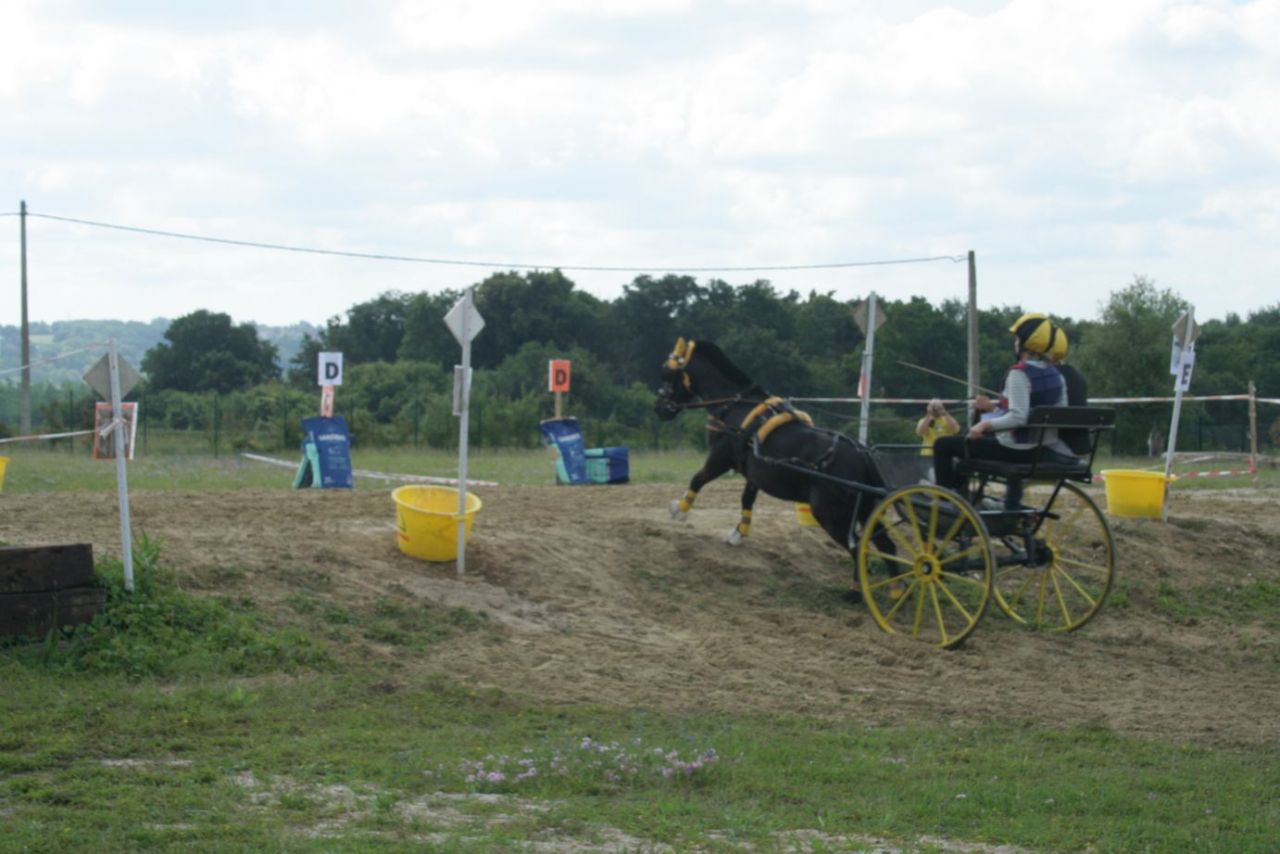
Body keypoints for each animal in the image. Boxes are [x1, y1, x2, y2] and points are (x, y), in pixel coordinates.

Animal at [654, 337, 890, 566]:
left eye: (667, 374)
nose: (659, 408)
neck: (735, 406)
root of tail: (863, 457)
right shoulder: (751, 470)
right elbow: (746, 498)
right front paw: (740, 532)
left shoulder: (722, 457)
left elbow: (699, 478)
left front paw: (680, 509)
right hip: (865, 511)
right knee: (885, 546)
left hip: (831, 514)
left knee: (858, 549)